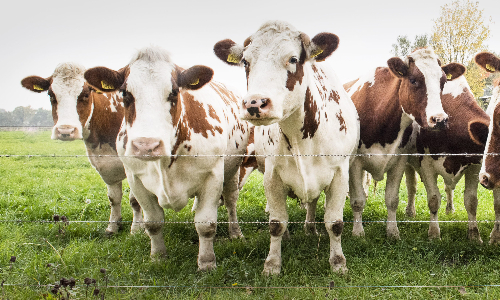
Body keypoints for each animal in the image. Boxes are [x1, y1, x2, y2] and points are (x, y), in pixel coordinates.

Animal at [20, 63, 143, 236]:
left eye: (85, 94)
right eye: (51, 94)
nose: (65, 130)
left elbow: (134, 200)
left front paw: (137, 228)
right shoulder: (106, 165)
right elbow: (113, 198)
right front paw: (113, 226)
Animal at [85, 45, 254, 270]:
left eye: (174, 92)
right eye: (125, 93)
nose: (146, 145)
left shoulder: (212, 176)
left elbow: (206, 224)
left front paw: (206, 262)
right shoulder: (136, 179)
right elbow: (153, 222)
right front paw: (158, 256)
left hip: (233, 170)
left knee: (230, 201)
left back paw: (235, 233)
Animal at [214, 20, 360, 274]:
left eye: (292, 59)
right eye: (246, 62)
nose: (255, 103)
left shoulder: (340, 173)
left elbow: (335, 223)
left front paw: (338, 262)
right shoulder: (272, 176)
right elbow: (276, 223)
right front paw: (272, 264)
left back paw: (310, 228)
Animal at [344, 48, 464, 239]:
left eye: (443, 82)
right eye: (413, 80)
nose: (440, 120)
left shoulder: (399, 161)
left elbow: (392, 199)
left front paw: (393, 232)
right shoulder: (355, 163)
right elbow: (357, 200)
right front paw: (358, 232)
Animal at [404, 75, 490, 241]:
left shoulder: (474, 166)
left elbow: (471, 201)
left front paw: (474, 235)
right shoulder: (426, 165)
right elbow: (433, 199)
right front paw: (434, 234)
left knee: (447, 187)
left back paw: (450, 209)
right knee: (412, 186)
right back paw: (410, 212)